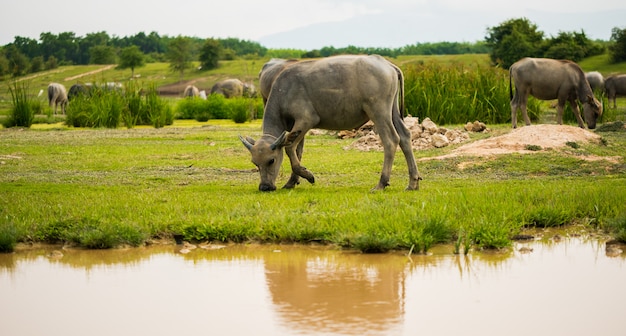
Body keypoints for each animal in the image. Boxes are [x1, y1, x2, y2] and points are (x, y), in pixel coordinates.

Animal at [239, 54, 420, 192]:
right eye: (255, 163)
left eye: (271, 160)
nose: (265, 187)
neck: (284, 90)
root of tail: (387, 65)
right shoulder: (297, 128)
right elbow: (297, 151)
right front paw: (292, 182)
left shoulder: (306, 120)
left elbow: (290, 149)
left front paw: (307, 175)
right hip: (392, 111)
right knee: (405, 136)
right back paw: (413, 182)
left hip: (379, 112)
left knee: (391, 140)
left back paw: (381, 183)